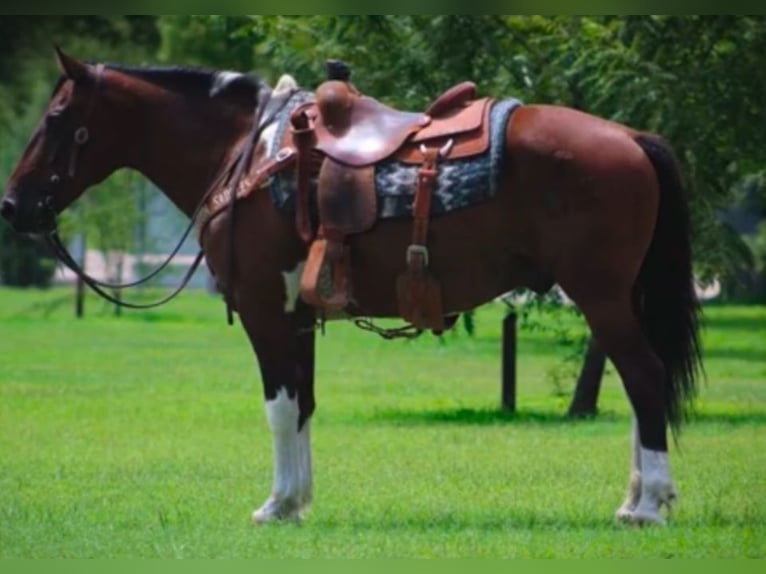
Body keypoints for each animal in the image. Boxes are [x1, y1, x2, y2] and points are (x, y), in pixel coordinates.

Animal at [3, 49, 704, 528]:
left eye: (58, 118)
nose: (13, 205)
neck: (249, 155)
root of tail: (631, 137)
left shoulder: (265, 309)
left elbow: (279, 405)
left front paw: (275, 504)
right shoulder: (297, 315)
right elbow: (304, 404)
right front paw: (297, 502)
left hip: (601, 296)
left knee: (644, 377)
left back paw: (650, 505)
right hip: (619, 299)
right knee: (637, 384)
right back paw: (633, 498)